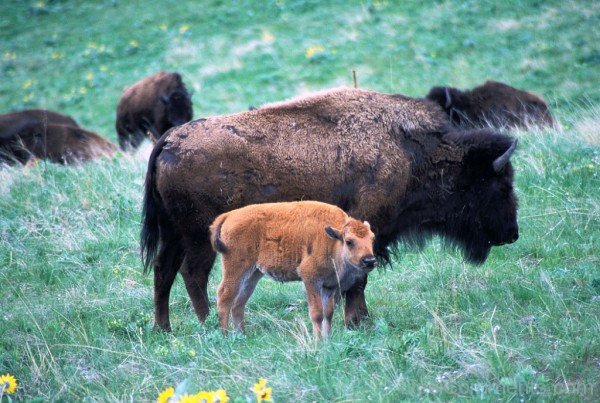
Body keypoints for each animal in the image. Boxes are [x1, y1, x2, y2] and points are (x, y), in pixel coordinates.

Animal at [210, 201, 376, 338]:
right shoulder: (310, 279)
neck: (333, 241)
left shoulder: (330, 285)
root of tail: (229, 215)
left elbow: (328, 313)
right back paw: (225, 335)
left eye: (372, 238)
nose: (369, 260)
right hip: (236, 268)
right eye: (349, 241)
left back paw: (241, 335)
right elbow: (317, 313)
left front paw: (327, 340)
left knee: (238, 303)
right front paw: (318, 341)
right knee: (224, 296)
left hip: (252, 274)